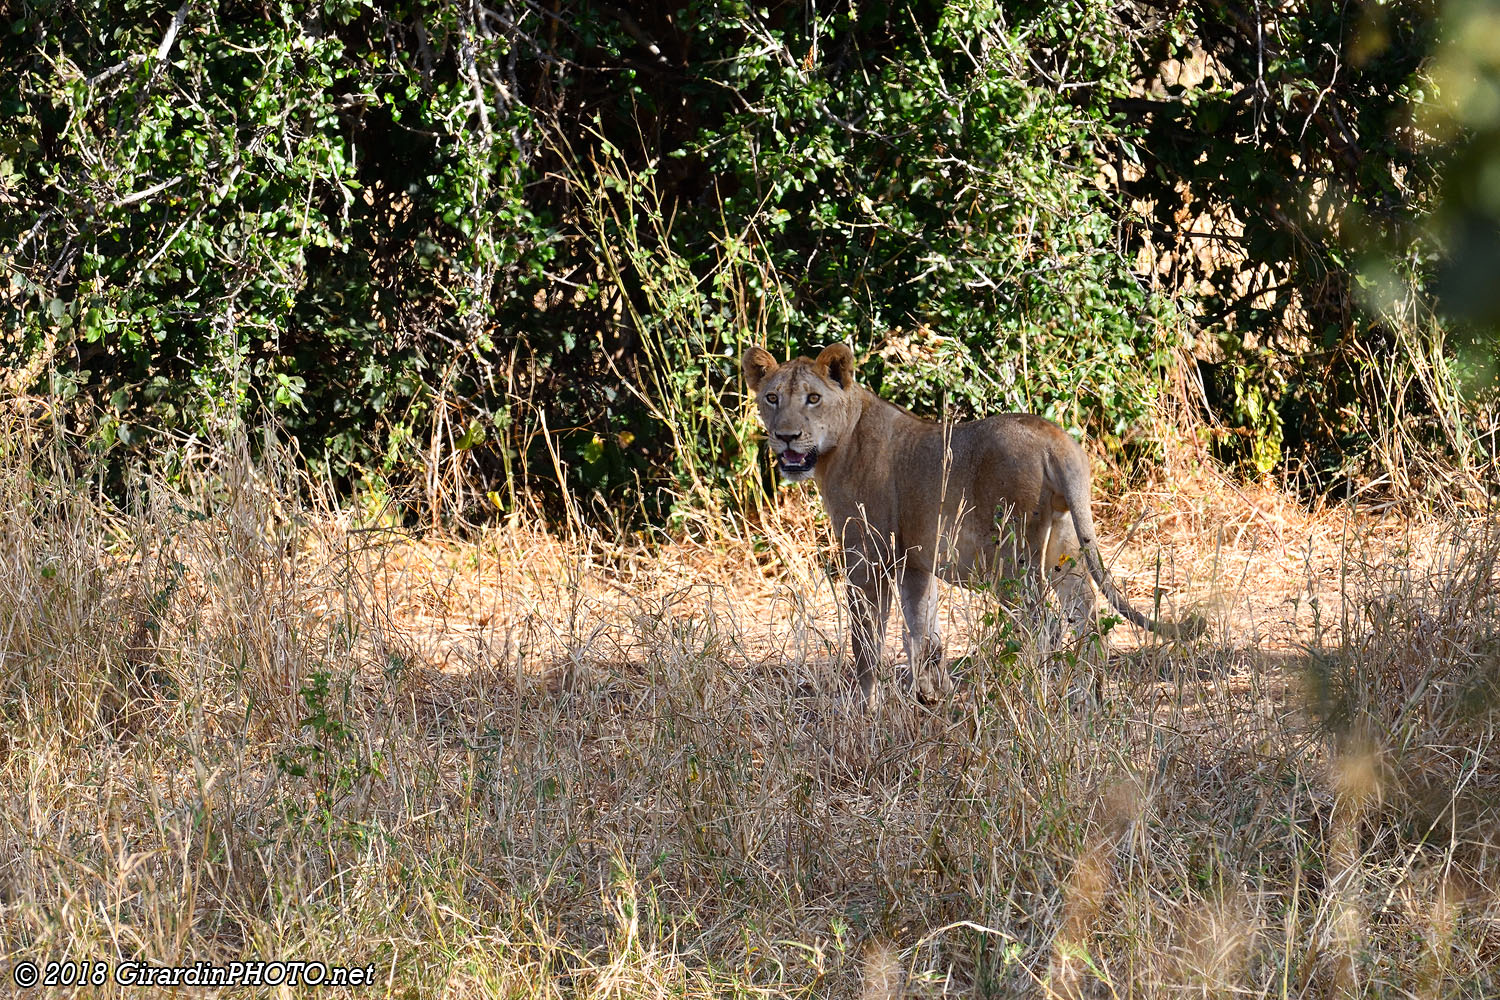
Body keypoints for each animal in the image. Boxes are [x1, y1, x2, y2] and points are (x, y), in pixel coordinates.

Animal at [742, 343, 1205, 705]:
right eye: (772, 397)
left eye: (813, 398)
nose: (785, 437)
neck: (838, 445)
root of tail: (1055, 439)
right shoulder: (914, 560)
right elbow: (923, 632)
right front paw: (931, 699)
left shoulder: (868, 554)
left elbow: (868, 639)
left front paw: (865, 710)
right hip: (1065, 548)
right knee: (1086, 618)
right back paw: (1089, 701)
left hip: (1011, 558)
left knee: (1045, 625)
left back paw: (1029, 697)